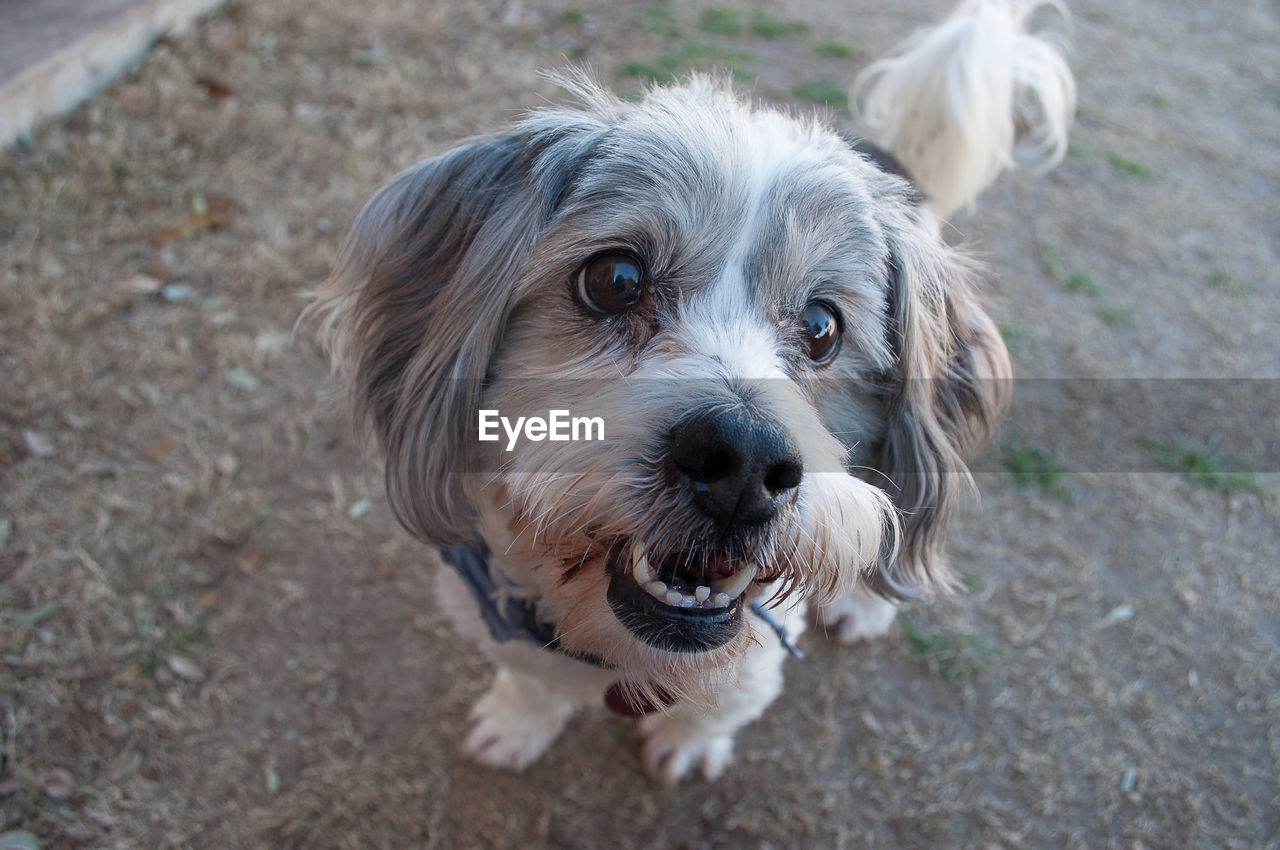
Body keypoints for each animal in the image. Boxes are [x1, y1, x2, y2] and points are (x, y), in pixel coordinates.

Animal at [307, 0, 1070, 783]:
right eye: (614, 279)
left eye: (823, 326)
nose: (745, 463)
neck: (623, 656)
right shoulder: (496, 613)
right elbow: (529, 680)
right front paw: (517, 723)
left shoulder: (755, 659)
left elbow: (720, 707)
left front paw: (689, 745)